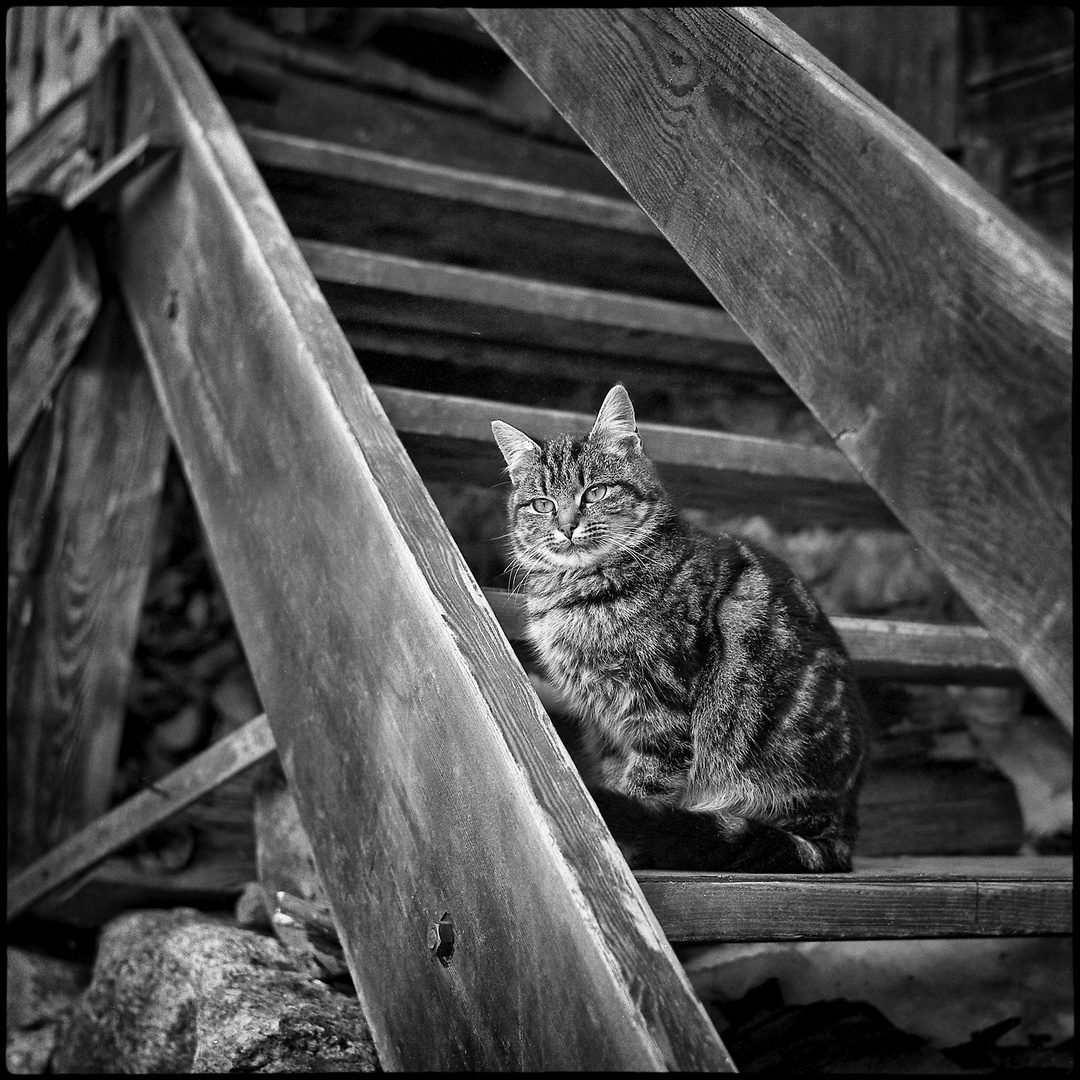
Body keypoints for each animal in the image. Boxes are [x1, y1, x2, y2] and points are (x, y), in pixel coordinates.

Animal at [494, 384, 868, 872]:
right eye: (542, 504)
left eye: (596, 491)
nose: (567, 526)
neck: (578, 591)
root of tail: (842, 830)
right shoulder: (607, 722)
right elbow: (619, 774)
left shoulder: (660, 707)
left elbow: (646, 791)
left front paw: (626, 843)